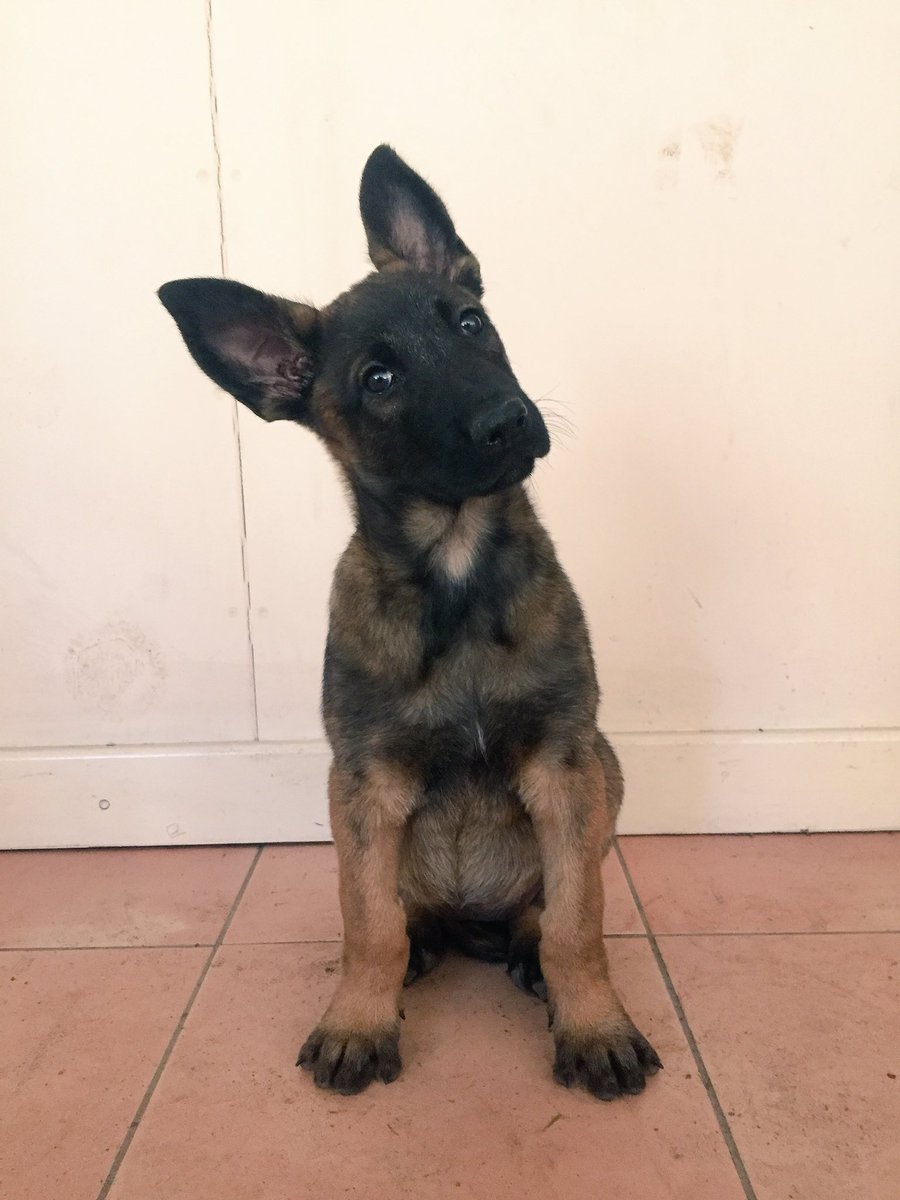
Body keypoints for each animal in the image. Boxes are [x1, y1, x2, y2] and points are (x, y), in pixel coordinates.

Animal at [158, 145, 662, 1099]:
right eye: (379, 379)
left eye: (470, 323)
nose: (509, 422)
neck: (455, 577)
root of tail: (471, 920)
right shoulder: (366, 779)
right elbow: (369, 920)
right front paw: (359, 1019)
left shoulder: (563, 764)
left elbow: (578, 918)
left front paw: (593, 1024)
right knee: (404, 912)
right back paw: (423, 946)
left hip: (604, 771)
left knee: (542, 907)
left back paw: (524, 947)